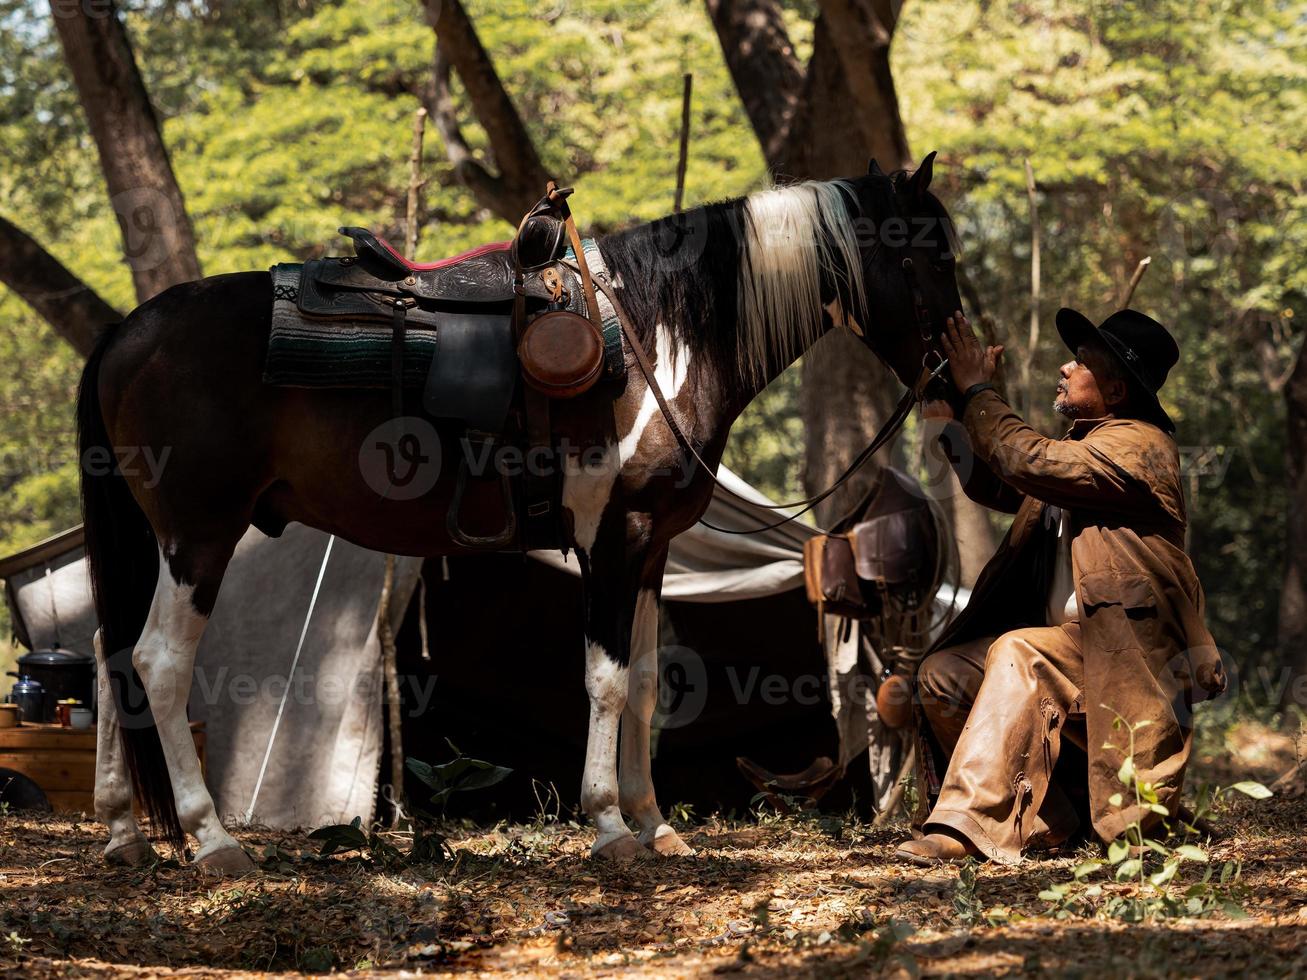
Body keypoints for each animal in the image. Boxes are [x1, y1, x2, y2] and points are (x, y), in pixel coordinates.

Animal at [79, 155, 961, 872]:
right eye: (932, 254)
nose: (951, 377)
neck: (657, 338)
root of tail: (129, 330)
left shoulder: (651, 549)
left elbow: (646, 684)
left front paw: (655, 825)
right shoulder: (612, 539)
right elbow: (607, 680)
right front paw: (609, 826)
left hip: (156, 540)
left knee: (109, 651)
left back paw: (122, 833)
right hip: (198, 536)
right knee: (158, 661)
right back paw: (212, 841)